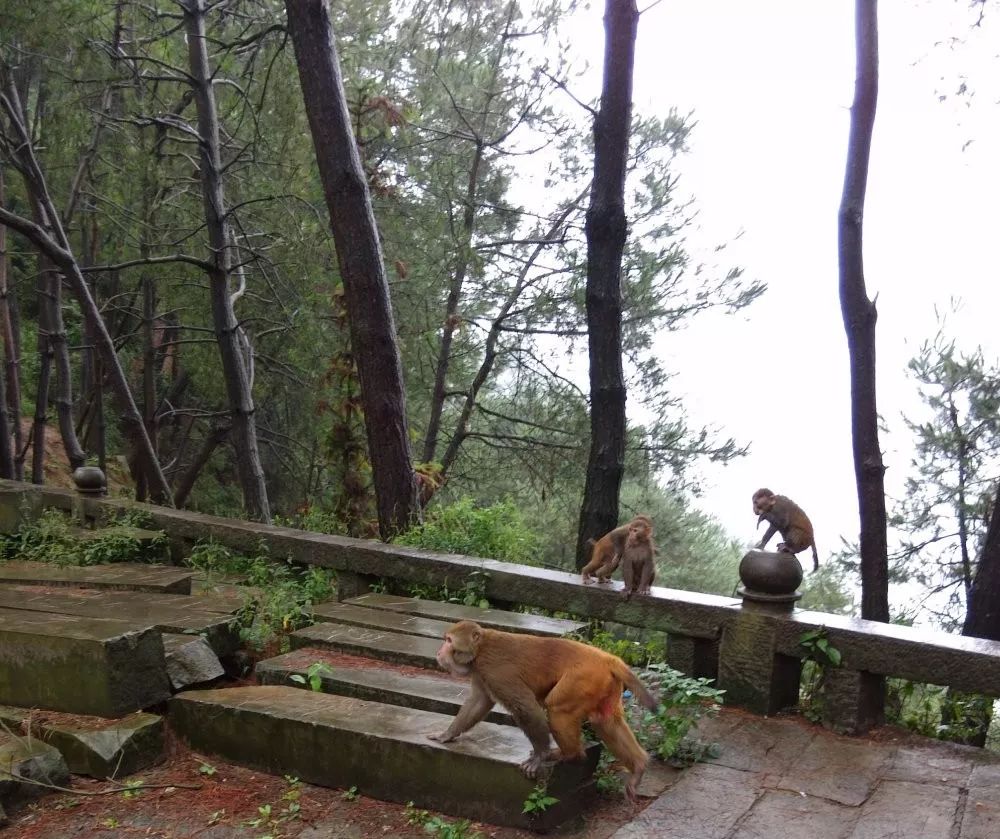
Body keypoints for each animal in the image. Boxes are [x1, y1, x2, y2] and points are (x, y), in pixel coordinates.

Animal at [428, 620, 656, 804]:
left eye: (449, 640)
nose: (439, 652)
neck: (480, 648)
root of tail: (609, 659)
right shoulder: (480, 672)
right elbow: (479, 702)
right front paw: (447, 735)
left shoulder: (494, 670)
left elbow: (525, 706)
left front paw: (539, 757)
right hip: (604, 685)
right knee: (605, 719)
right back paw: (638, 766)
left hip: (583, 678)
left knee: (556, 708)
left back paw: (568, 754)